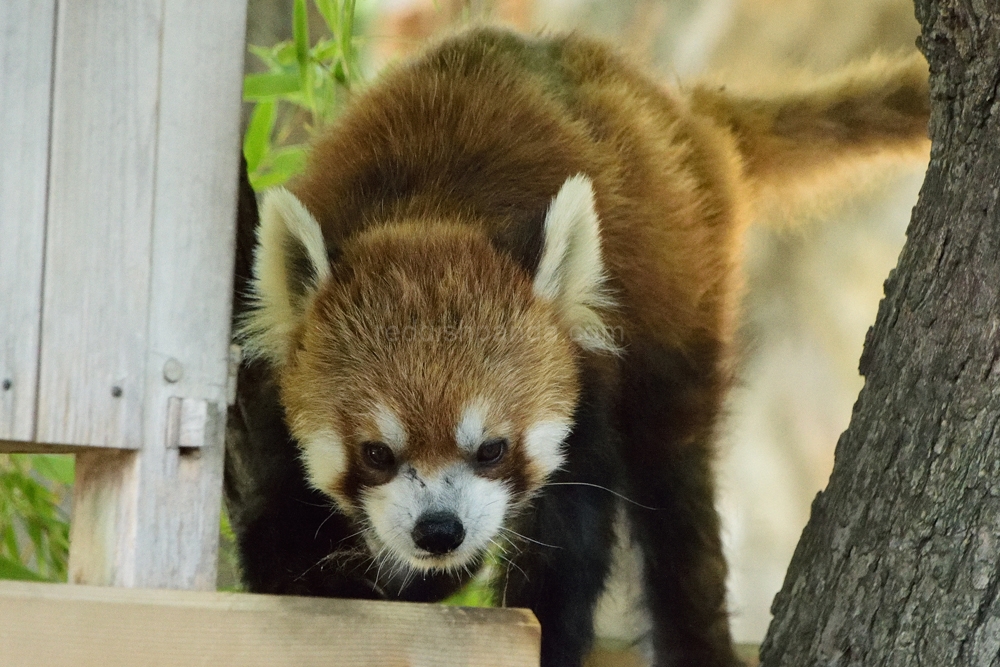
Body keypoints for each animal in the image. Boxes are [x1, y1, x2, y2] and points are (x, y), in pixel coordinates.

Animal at [227, 26, 928, 667]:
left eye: (492, 448)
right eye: (375, 453)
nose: (440, 531)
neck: (433, 206)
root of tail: (685, 115)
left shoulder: (590, 387)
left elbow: (568, 554)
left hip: (676, 314)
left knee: (674, 490)